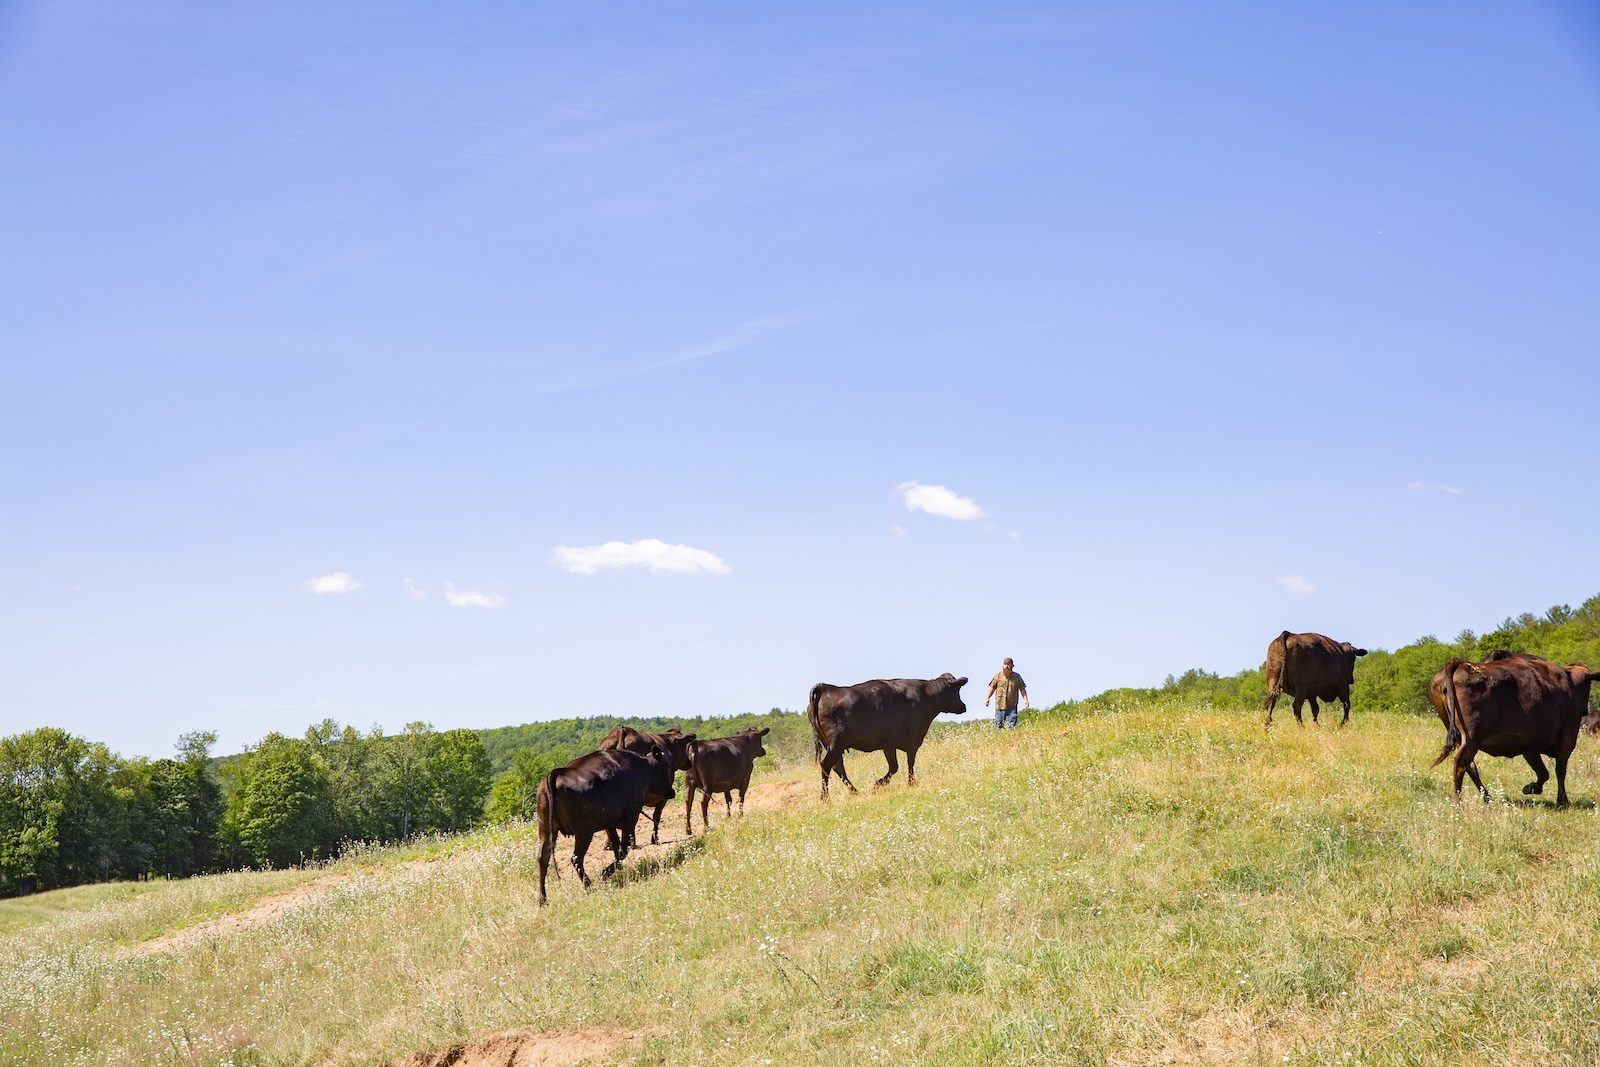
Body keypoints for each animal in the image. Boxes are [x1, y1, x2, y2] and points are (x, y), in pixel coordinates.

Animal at [536, 747, 675, 905]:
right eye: (666, 767)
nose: (672, 791)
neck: (641, 768)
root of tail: (559, 772)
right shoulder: (630, 818)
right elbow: (623, 849)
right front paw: (605, 873)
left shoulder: (610, 824)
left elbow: (616, 848)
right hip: (584, 832)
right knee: (576, 858)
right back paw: (588, 886)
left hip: (547, 830)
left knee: (543, 858)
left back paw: (543, 899)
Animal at [807, 673, 968, 800]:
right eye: (956, 690)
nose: (963, 706)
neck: (926, 695)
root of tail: (826, 687)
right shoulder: (913, 739)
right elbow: (910, 763)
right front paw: (911, 783)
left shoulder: (889, 745)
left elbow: (894, 767)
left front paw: (877, 785)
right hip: (836, 744)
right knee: (826, 765)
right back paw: (825, 798)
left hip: (833, 746)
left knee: (838, 767)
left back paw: (855, 792)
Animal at [1431, 653, 1600, 805]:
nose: (1585, 710)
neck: (1568, 682)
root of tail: (1461, 664)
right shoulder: (1567, 740)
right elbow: (1560, 771)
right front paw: (1562, 800)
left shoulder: (1530, 747)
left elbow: (1543, 772)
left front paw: (1531, 788)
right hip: (1472, 738)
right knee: (1461, 763)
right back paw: (1457, 802)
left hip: (1461, 738)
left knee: (1470, 766)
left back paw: (1487, 797)